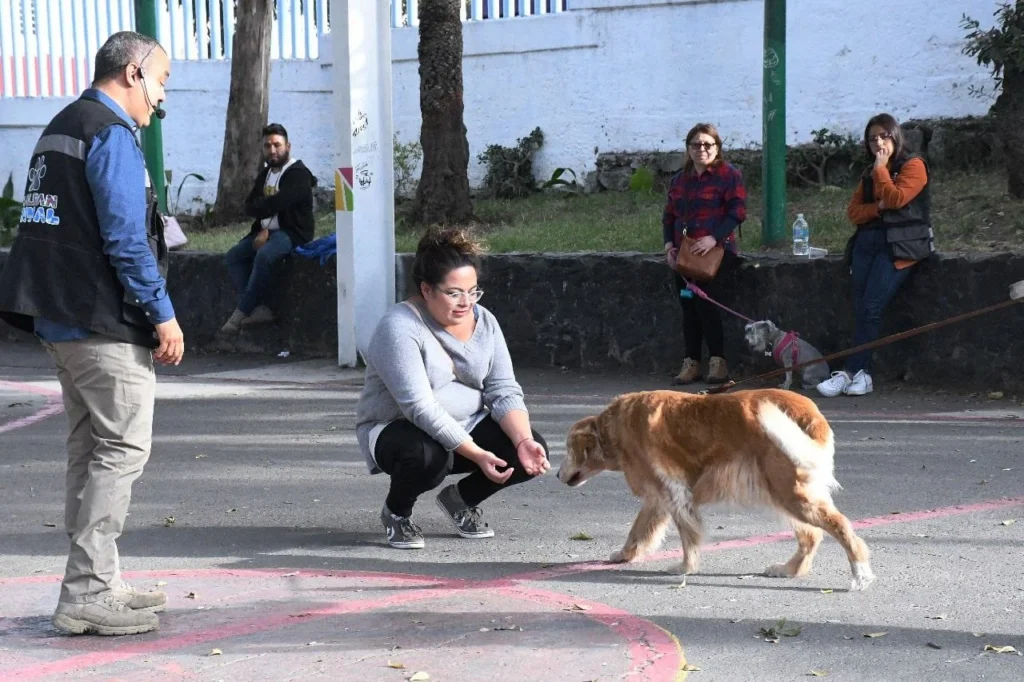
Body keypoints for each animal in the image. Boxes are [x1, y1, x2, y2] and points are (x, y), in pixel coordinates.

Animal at [557, 387, 876, 589]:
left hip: (792, 492)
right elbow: (639, 530)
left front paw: (685, 567)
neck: (615, 428)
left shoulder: (674, 492)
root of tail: (811, 413)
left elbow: (688, 535)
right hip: (784, 492)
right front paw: (626, 554)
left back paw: (860, 574)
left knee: (841, 528)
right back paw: (789, 570)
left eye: (569, 450)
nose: (558, 474)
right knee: (811, 536)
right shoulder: (658, 497)